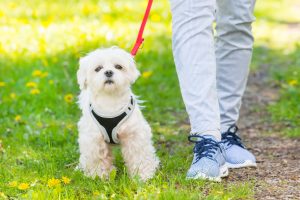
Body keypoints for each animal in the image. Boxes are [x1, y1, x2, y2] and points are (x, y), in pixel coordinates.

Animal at [76, 46, 159, 180]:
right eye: (98, 68)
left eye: (118, 66)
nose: (109, 72)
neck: (110, 101)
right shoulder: (94, 139)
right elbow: (98, 159)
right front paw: (99, 176)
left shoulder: (134, 135)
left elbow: (139, 156)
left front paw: (142, 175)